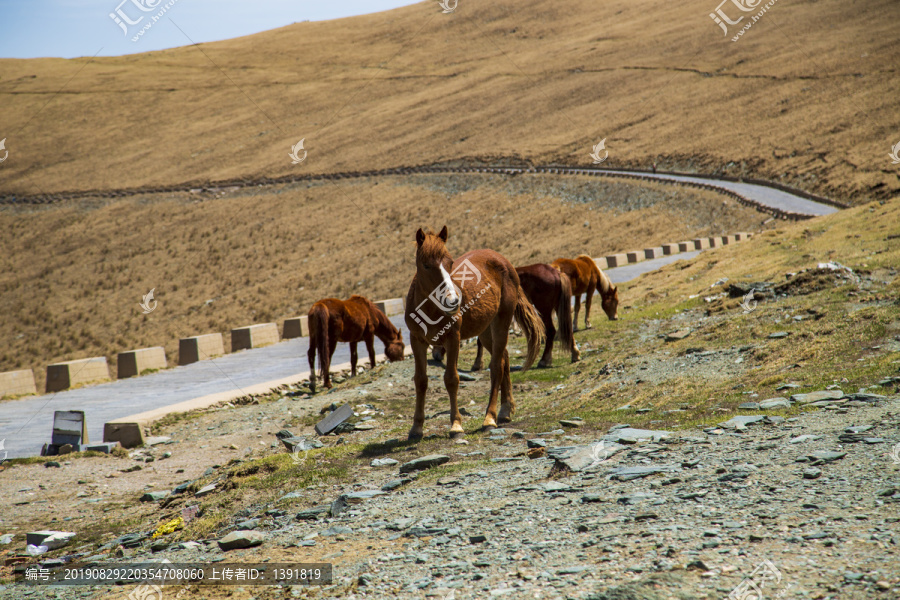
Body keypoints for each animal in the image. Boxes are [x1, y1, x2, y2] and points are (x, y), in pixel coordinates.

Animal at [406, 226, 544, 440]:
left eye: (450, 263)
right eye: (426, 265)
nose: (453, 301)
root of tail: (504, 261)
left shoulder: (453, 339)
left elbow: (451, 379)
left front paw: (456, 425)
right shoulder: (417, 341)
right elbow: (420, 381)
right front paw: (416, 428)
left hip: (502, 321)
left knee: (496, 366)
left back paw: (490, 418)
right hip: (485, 331)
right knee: (504, 358)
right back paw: (505, 409)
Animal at [444, 264, 584, 370]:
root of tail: (556, 273)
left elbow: (480, 341)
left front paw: (478, 363)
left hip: (544, 309)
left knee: (551, 331)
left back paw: (544, 360)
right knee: (567, 328)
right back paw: (575, 354)